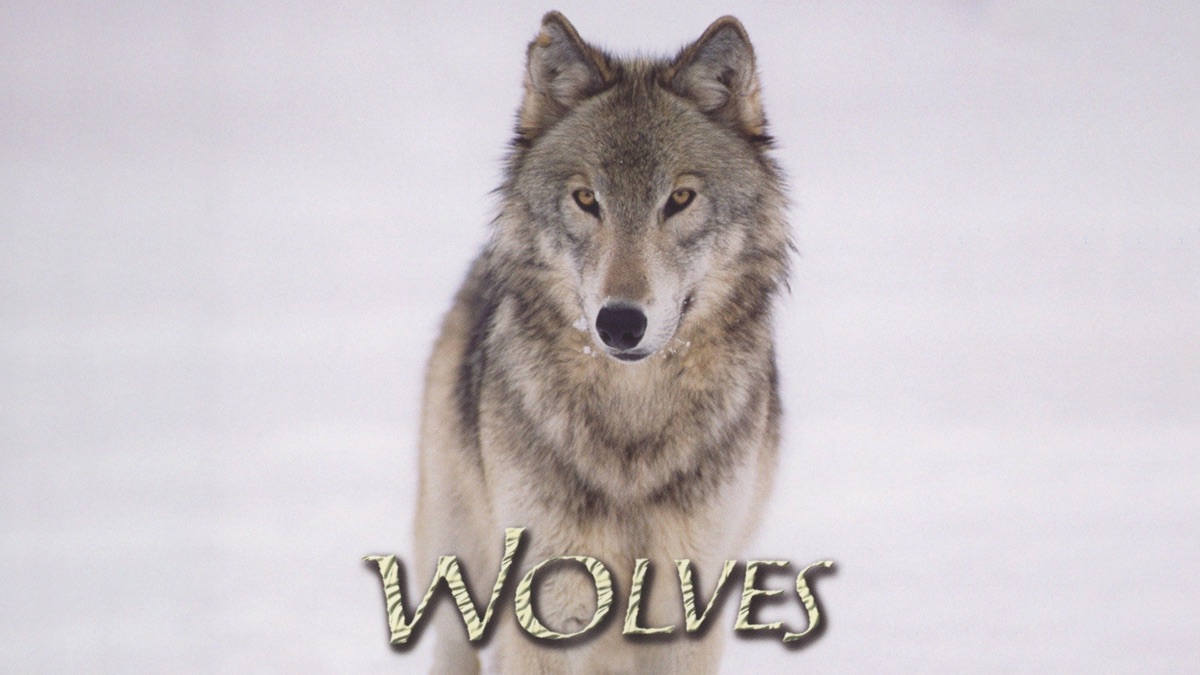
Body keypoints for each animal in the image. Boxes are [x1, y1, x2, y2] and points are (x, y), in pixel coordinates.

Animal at [414, 11, 791, 673]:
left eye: (679, 198)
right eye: (588, 199)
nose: (619, 323)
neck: (631, 422)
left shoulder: (690, 614)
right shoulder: (545, 606)